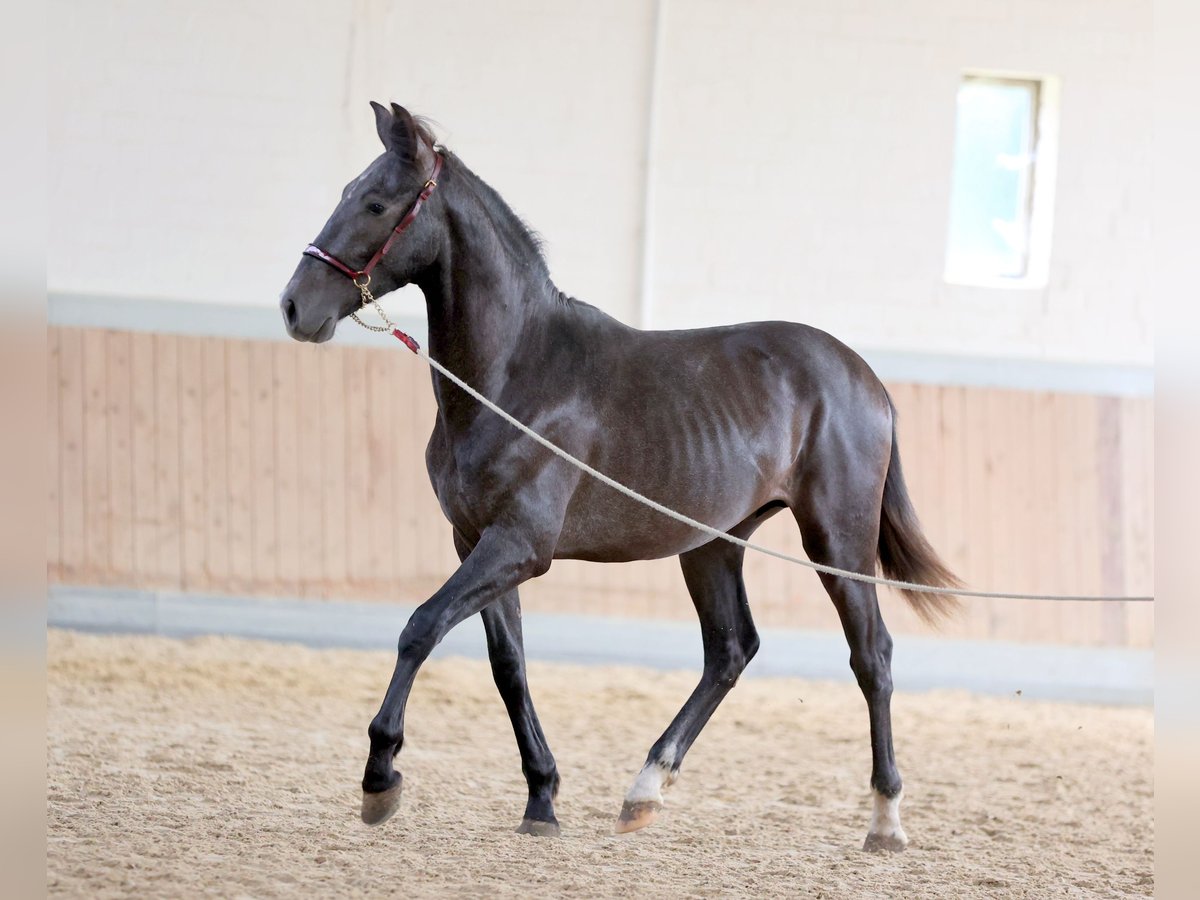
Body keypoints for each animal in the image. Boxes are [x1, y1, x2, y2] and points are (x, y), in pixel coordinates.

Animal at [278, 103, 955, 854]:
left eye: (375, 203)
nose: (295, 308)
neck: (516, 373)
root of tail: (868, 380)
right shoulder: (476, 543)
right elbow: (508, 666)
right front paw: (541, 800)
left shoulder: (519, 546)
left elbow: (420, 628)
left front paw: (381, 778)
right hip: (713, 544)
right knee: (731, 650)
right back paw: (644, 790)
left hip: (837, 540)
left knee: (872, 656)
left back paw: (885, 821)